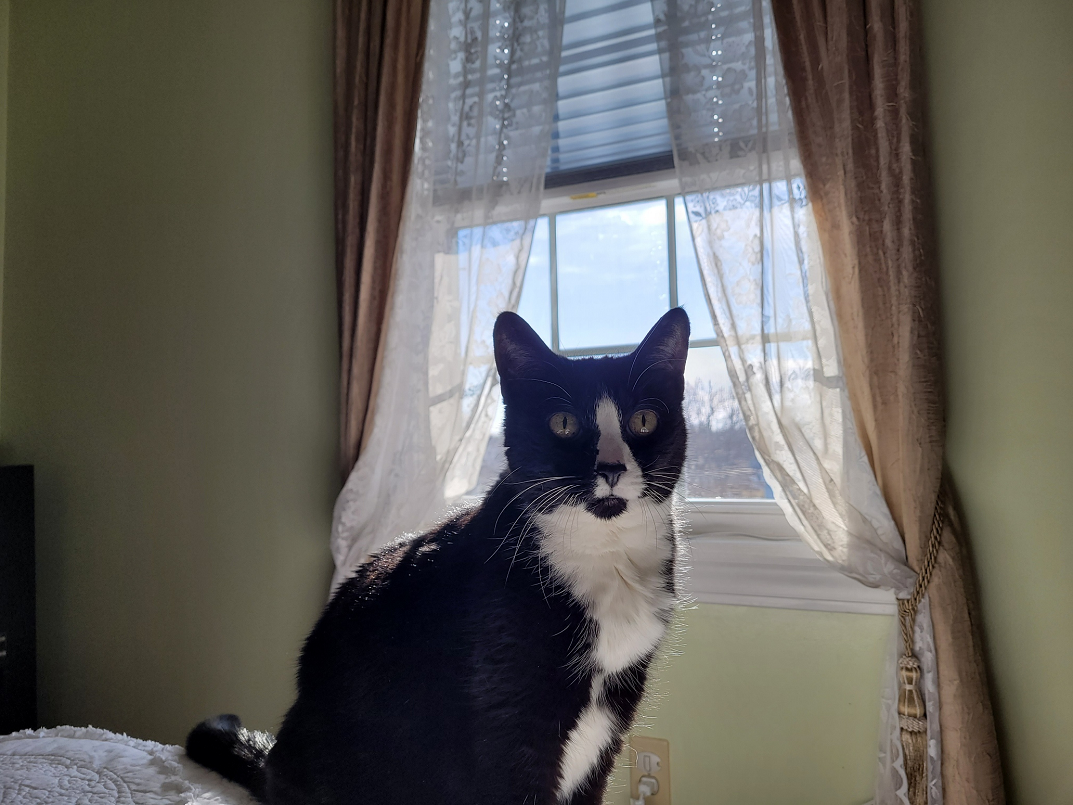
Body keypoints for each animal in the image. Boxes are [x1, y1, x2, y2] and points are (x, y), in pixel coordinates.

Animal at [186, 307, 690, 804]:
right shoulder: (509, 719)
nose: (612, 467)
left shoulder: (616, 707)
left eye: (644, 421)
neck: (604, 554)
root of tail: (273, 766)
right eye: (563, 423)